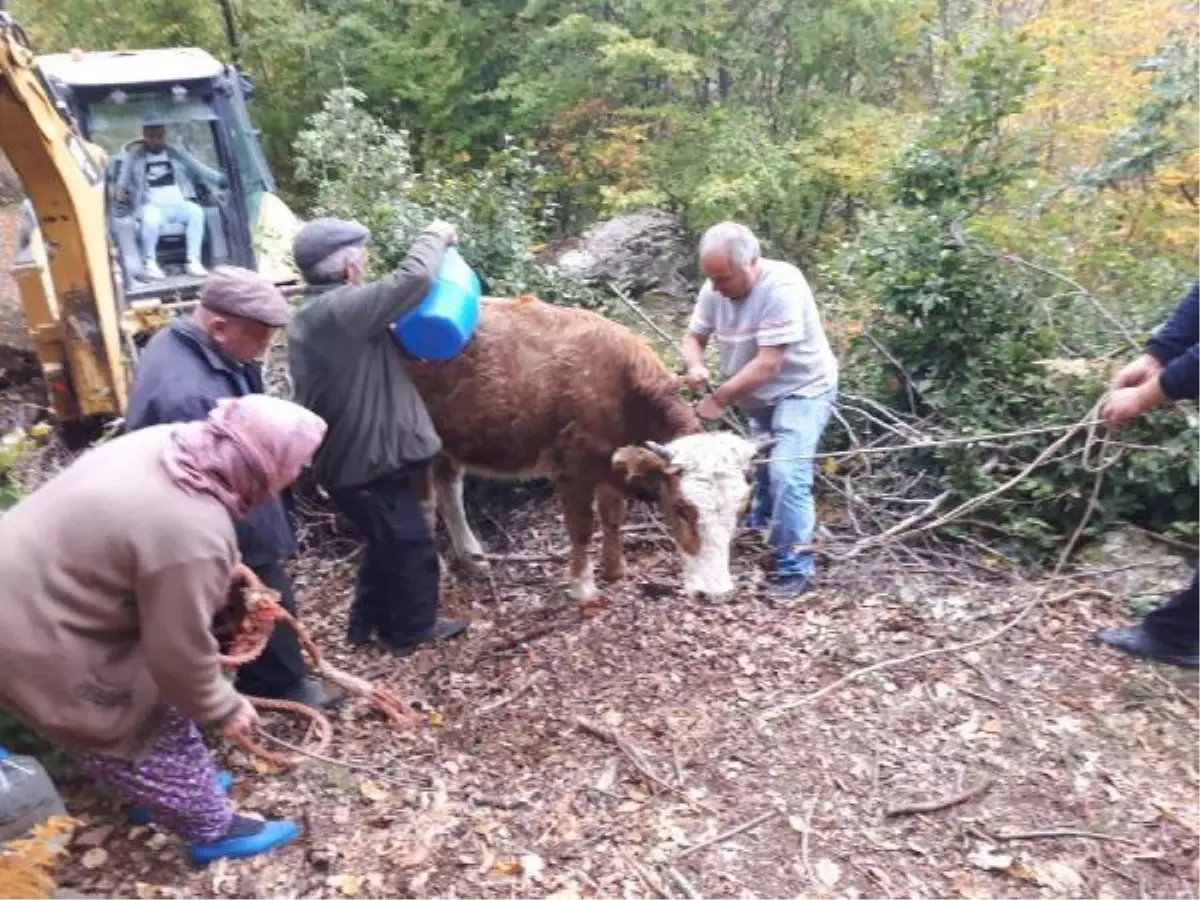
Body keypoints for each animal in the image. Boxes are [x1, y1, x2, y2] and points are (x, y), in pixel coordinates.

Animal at [408, 300, 763, 602]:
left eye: (741, 510)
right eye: (681, 507)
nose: (715, 593)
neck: (624, 393)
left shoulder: (610, 465)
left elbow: (612, 518)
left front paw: (615, 570)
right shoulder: (571, 469)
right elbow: (581, 529)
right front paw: (582, 587)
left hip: (449, 441)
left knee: (449, 488)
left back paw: (473, 557)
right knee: (423, 505)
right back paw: (441, 573)